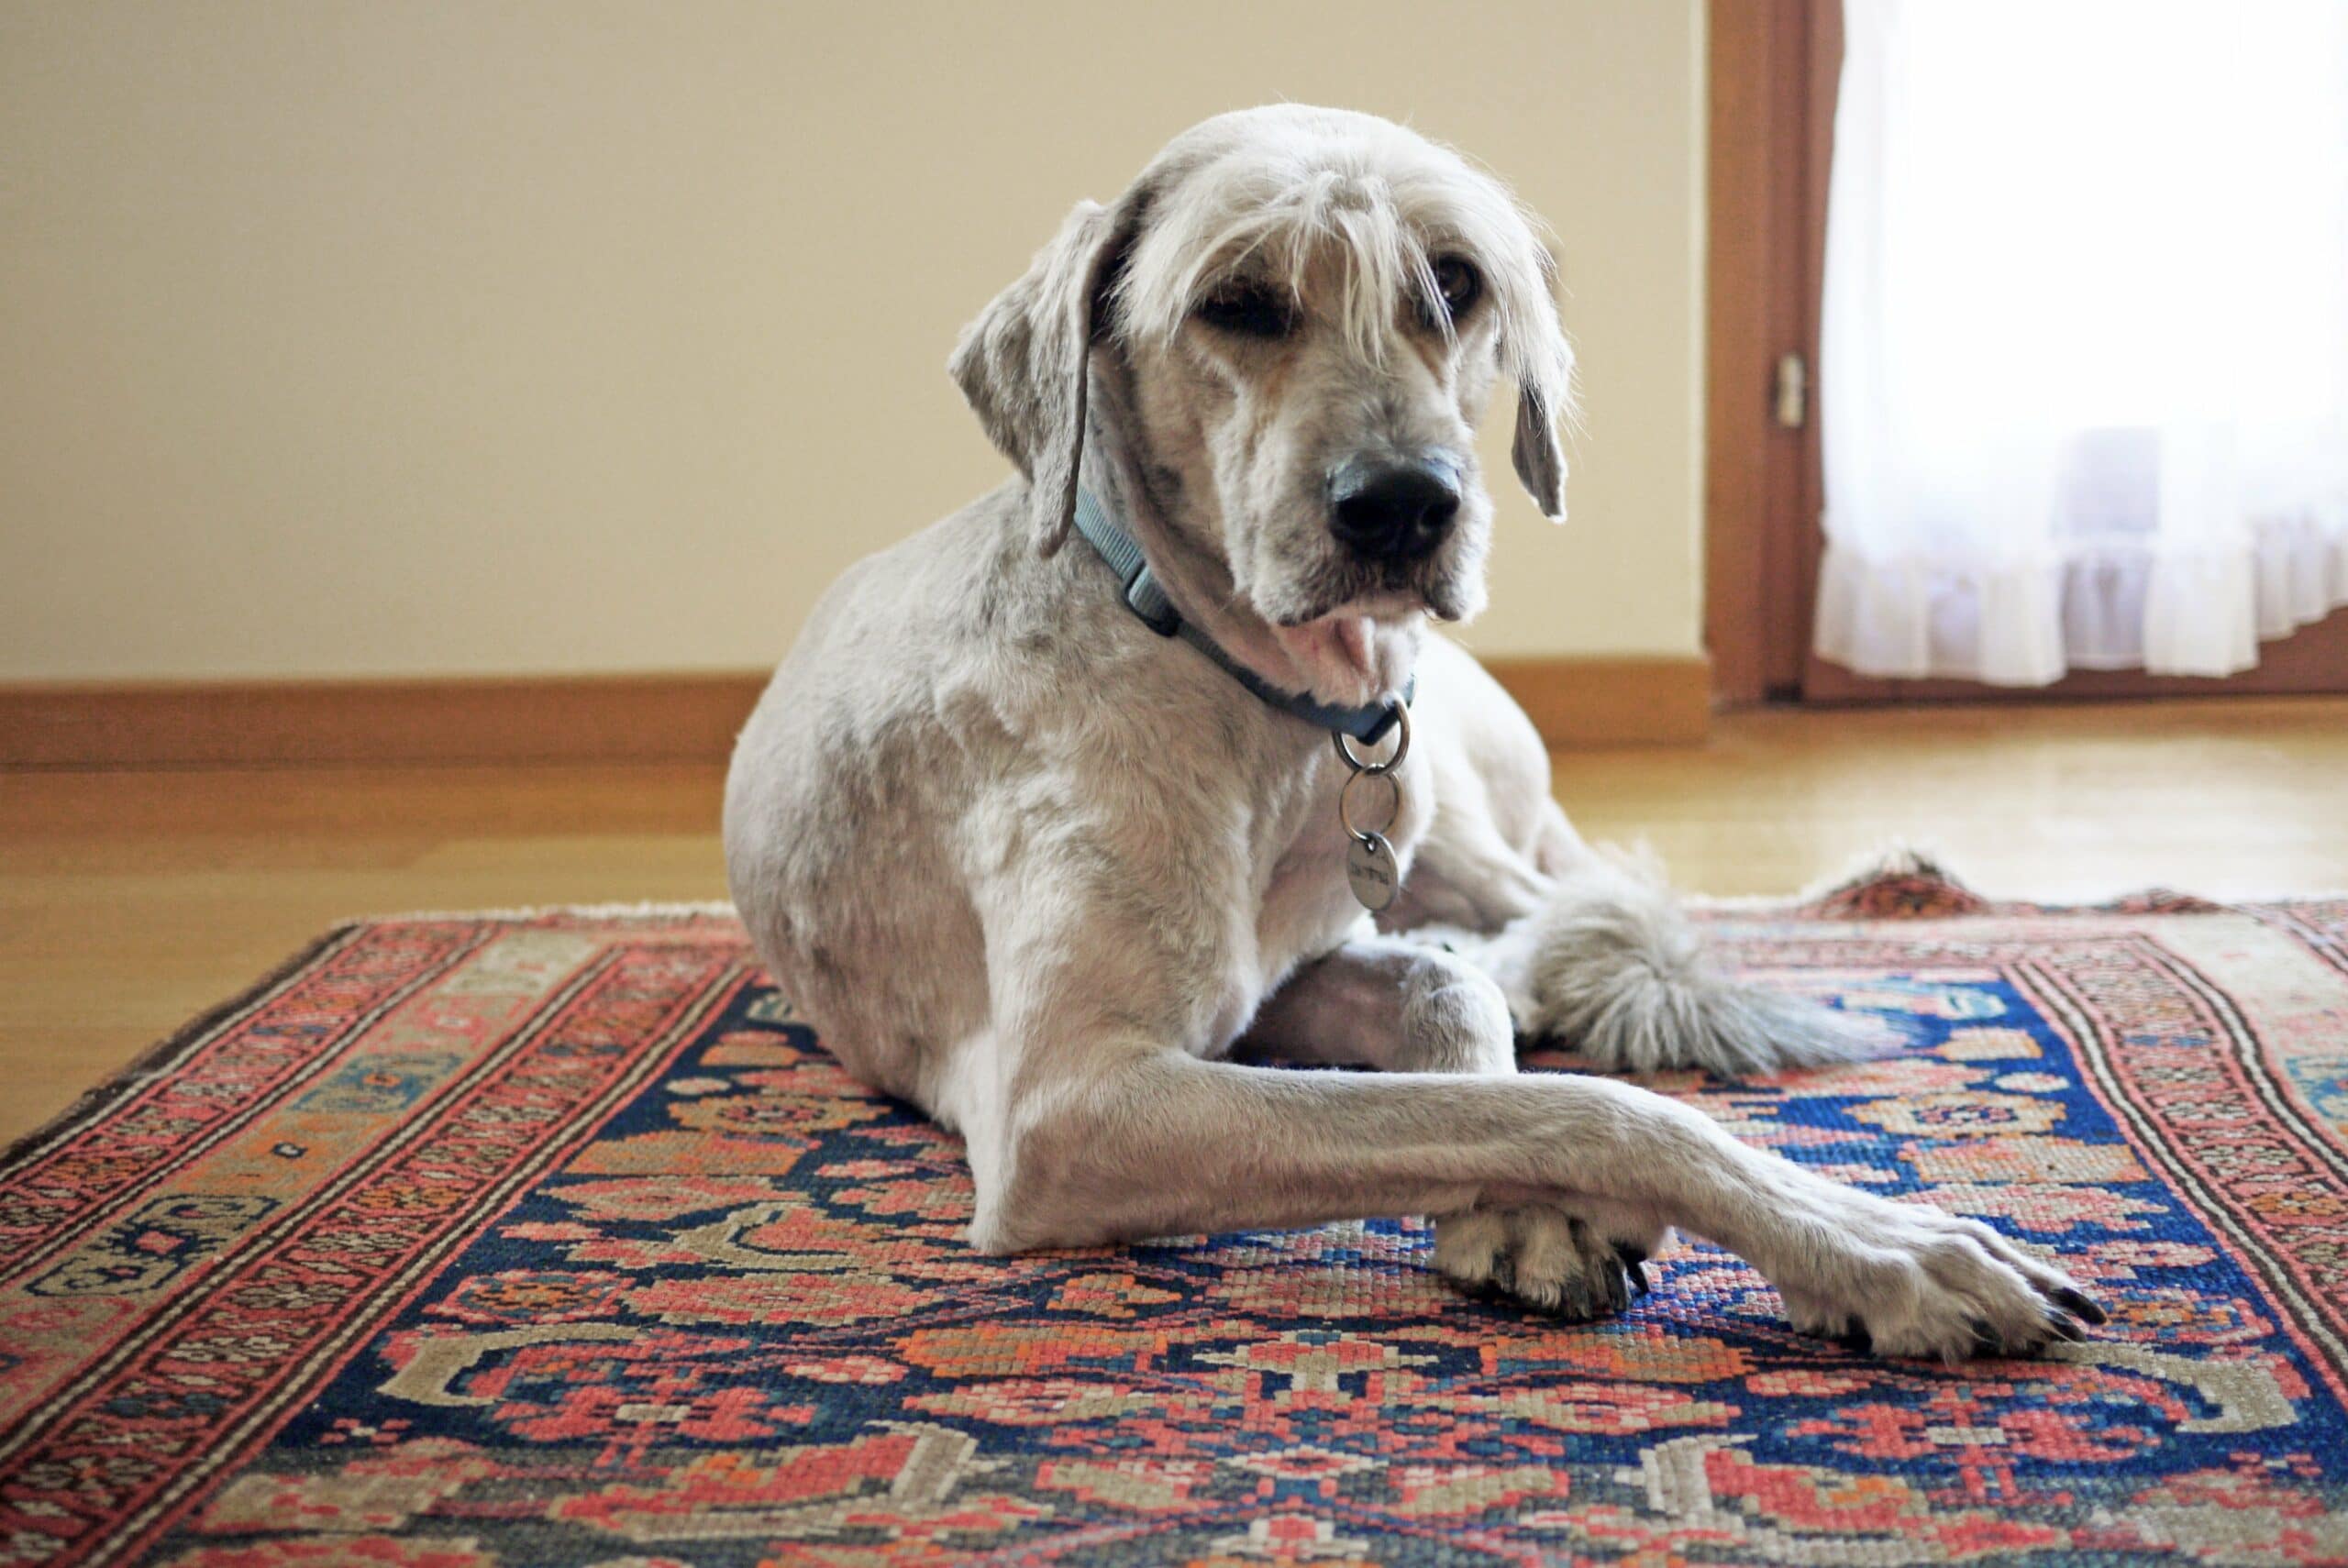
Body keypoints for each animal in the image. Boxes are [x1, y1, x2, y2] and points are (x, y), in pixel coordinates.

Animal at [723, 107, 2103, 1361]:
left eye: (1455, 281)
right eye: (1236, 299)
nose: (1401, 506)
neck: (1250, 699)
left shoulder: (1283, 983)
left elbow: (1463, 1029)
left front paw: (1530, 1212)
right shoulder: (1074, 1104)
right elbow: (1588, 1108)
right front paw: (1878, 1247)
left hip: (1454, 819)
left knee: (1569, 924)